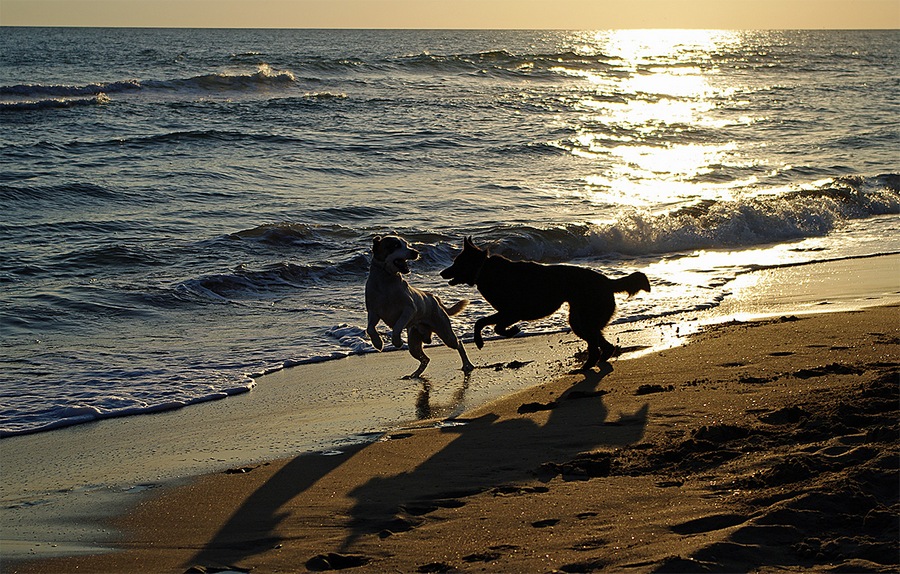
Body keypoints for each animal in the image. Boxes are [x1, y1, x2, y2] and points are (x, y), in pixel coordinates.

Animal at [366, 236, 478, 380]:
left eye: (406, 244)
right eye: (396, 245)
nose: (415, 252)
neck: (386, 280)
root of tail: (434, 298)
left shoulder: (409, 309)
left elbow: (397, 326)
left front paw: (397, 341)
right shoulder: (373, 312)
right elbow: (370, 328)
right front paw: (378, 343)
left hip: (445, 331)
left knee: (458, 343)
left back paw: (467, 365)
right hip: (414, 343)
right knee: (425, 359)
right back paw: (414, 374)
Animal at [440, 236, 652, 372]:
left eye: (457, 262)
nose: (442, 273)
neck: (484, 269)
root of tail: (608, 282)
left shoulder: (512, 312)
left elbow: (493, 326)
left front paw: (510, 332)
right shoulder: (506, 312)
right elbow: (481, 322)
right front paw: (481, 340)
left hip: (583, 321)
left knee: (596, 346)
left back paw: (585, 367)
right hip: (580, 322)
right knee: (603, 346)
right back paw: (592, 364)